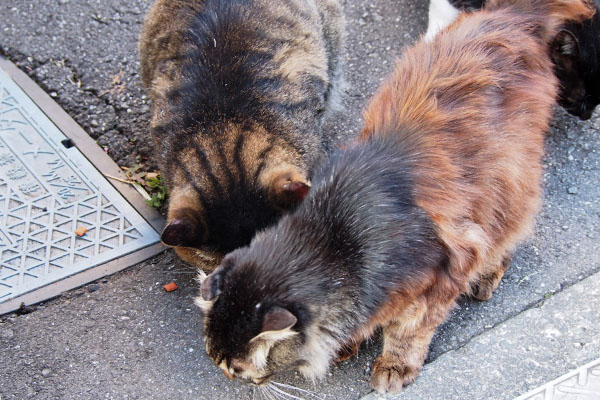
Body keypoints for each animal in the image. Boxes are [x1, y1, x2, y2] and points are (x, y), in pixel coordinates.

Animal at [196, 0, 592, 394]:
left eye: (237, 367)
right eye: (215, 358)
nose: (225, 374)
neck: (339, 244)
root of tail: (511, 15)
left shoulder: (440, 278)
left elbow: (409, 332)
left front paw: (393, 365)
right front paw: (350, 343)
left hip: (508, 187)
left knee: (507, 235)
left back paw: (486, 277)